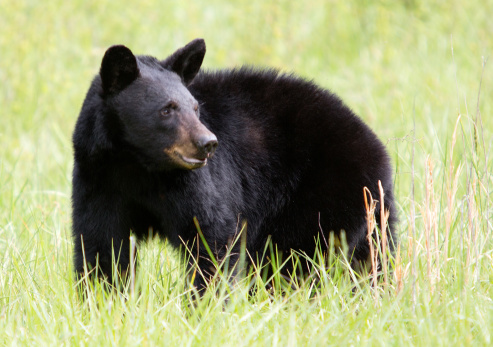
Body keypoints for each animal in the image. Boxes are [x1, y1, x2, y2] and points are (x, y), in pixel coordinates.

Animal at [72, 38, 396, 290]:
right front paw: (102, 301)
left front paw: (204, 307)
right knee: (373, 255)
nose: (208, 142)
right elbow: (101, 244)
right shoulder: (98, 177)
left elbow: (211, 235)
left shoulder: (195, 183)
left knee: (295, 258)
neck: (140, 165)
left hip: (323, 195)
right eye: (167, 109)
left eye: (195, 107)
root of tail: (380, 152)